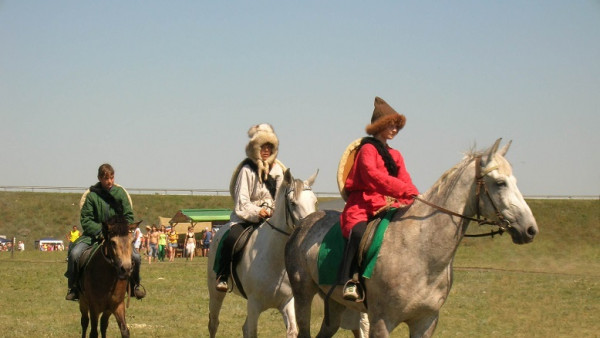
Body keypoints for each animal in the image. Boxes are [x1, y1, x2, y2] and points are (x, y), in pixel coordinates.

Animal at [207, 169, 318, 338]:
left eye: (314, 201)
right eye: (292, 203)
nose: (311, 228)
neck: (275, 261)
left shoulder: (287, 303)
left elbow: (292, 330)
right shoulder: (254, 305)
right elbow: (252, 331)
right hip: (215, 292)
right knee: (214, 323)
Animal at [284, 139, 540, 336]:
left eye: (515, 181)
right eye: (500, 183)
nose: (530, 229)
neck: (421, 250)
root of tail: (303, 225)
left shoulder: (425, 322)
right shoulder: (381, 322)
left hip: (335, 303)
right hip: (303, 296)